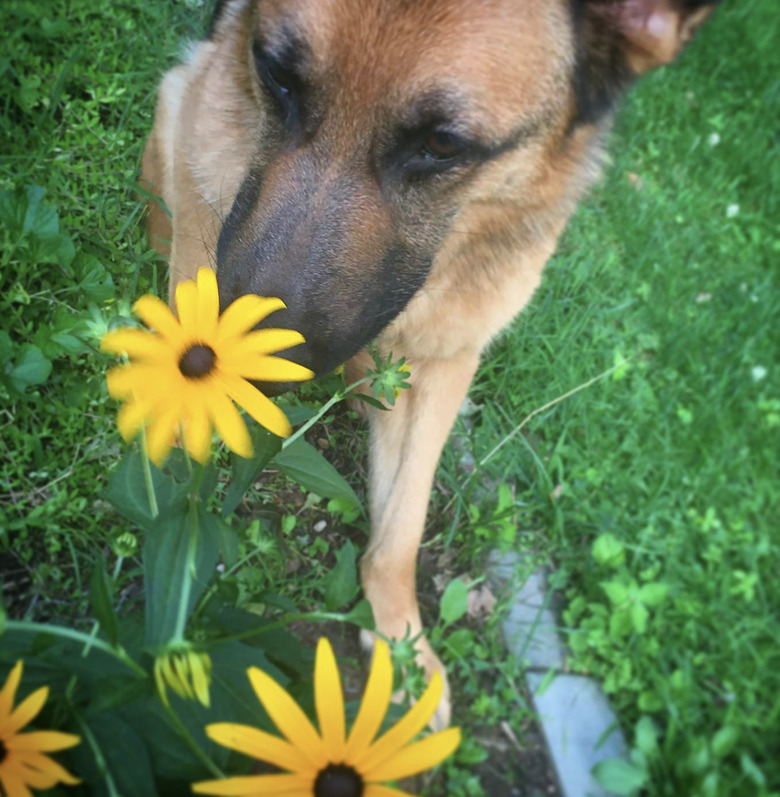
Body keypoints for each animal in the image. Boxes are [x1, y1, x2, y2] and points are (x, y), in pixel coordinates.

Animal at [142, 0, 720, 724]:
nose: (238, 366)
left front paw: (401, 645)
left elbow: (401, 528)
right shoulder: (204, 174)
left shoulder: (447, 360)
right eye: (275, 76)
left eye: (442, 147)